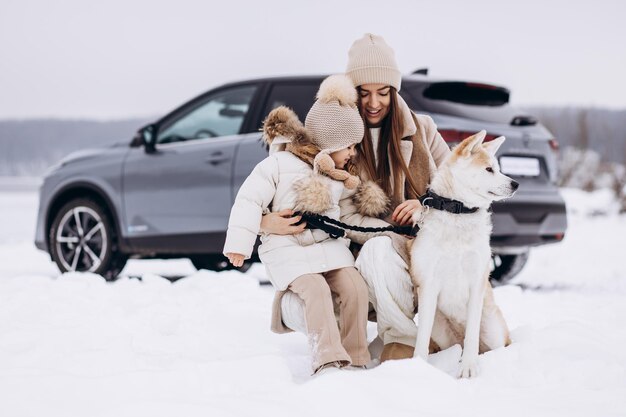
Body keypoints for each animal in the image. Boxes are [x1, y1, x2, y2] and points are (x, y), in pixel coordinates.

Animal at [408, 130, 516, 376]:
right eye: (489, 169)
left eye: (498, 168)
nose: (516, 183)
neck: (458, 211)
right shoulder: (429, 284)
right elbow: (421, 340)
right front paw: (419, 368)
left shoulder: (476, 282)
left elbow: (472, 336)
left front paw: (468, 368)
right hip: (440, 328)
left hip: (493, 330)